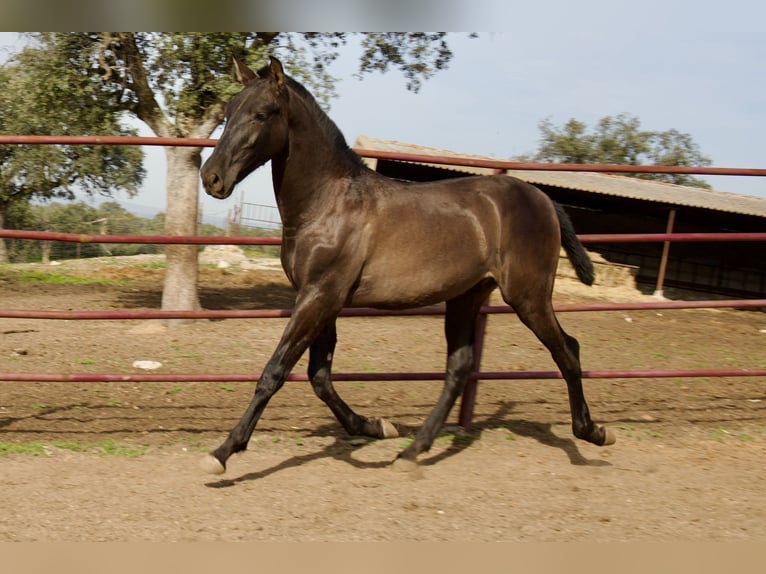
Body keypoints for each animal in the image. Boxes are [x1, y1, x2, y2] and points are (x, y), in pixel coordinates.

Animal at [200, 56, 616, 474]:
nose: (211, 177)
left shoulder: (319, 296)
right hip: (467, 296)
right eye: (228, 112)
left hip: (528, 296)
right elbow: (319, 376)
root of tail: (543, 198)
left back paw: (593, 434)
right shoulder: (321, 299)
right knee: (460, 366)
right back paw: (414, 449)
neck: (329, 203)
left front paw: (223, 452)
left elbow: (275, 371)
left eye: (261, 114)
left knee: (567, 350)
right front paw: (375, 427)